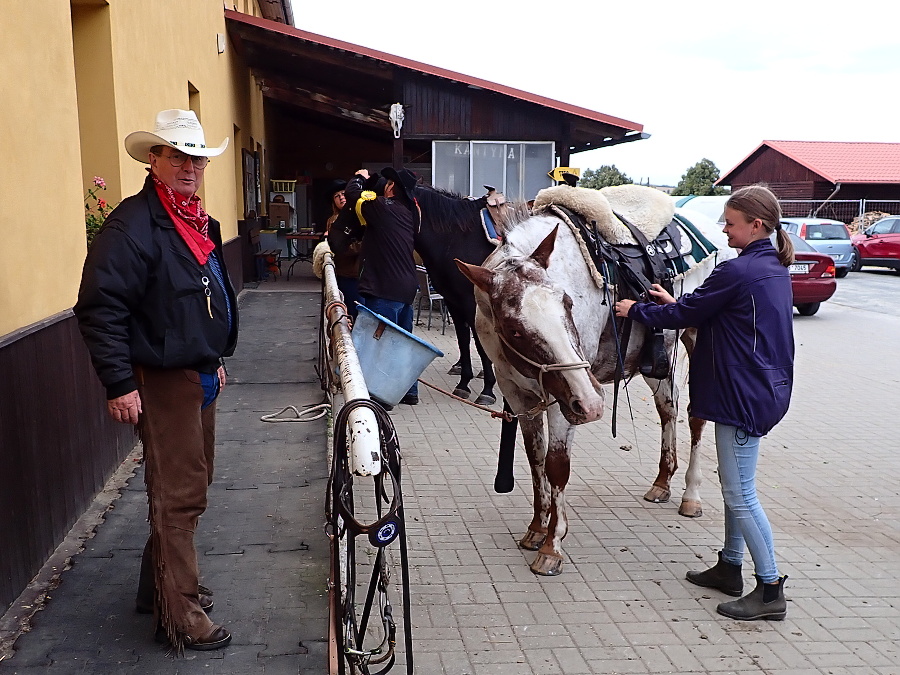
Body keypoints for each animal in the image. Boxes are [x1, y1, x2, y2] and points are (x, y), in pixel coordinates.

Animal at [458, 201, 732, 576]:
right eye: (514, 328)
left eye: (568, 303)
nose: (591, 403)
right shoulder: (519, 395)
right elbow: (535, 459)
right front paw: (536, 528)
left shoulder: (564, 401)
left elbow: (557, 465)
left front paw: (552, 546)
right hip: (657, 362)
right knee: (668, 408)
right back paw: (662, 482)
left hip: (697, 339)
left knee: (695, 417)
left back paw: (691, 496)